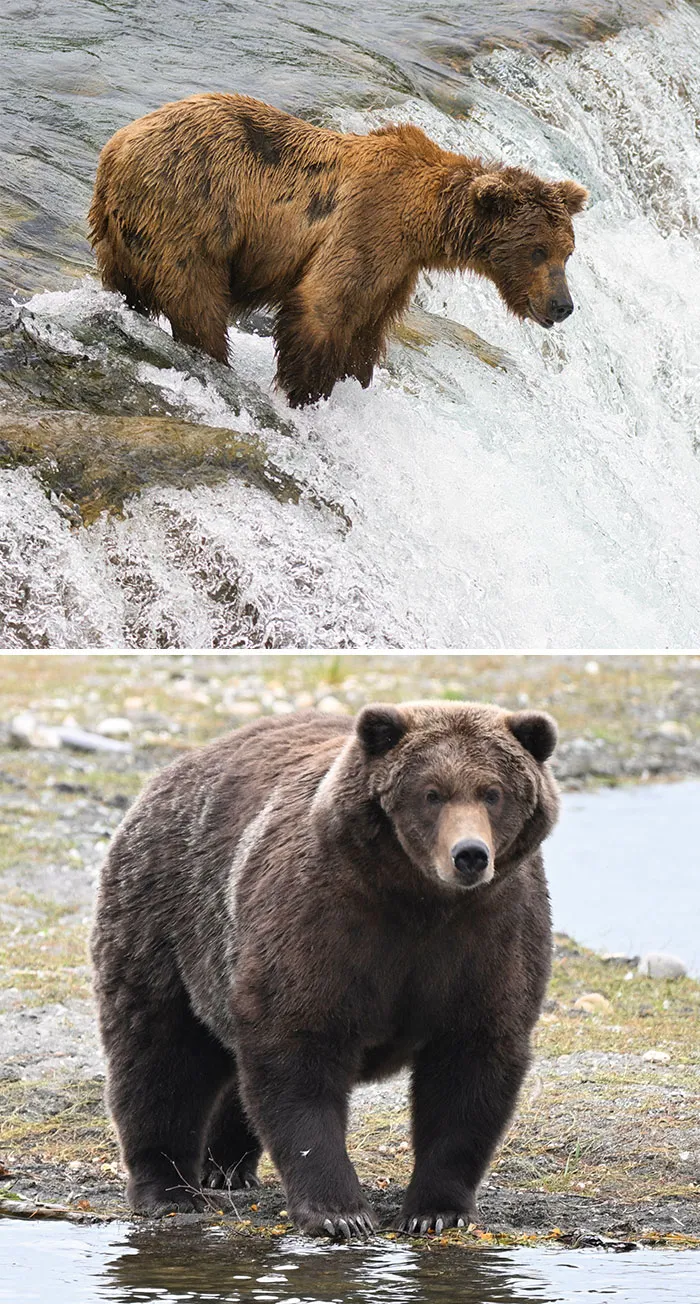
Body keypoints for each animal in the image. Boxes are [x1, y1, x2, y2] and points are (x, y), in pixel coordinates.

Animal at [88, 93, 588, 407]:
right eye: (538, 251)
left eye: (567, 253)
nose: (562, 305)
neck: (423, 221)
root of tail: (114, 149)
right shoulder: (367, 225)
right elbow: (323, 307)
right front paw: (306, 392)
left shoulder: (397, 269)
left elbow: (368, 328)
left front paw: (354, 377)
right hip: (189, 213)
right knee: (198, 301)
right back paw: (214, 359)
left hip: (122, 236)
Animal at [90, 700, 559, 1239]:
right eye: (432, 793)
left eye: (493, 792)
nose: (470, 855)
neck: (420, 901)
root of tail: (169, 773)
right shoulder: (323, 920)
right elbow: (299, 1052)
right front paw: (341, 1212)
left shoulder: (490, 935)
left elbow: (471, 1066)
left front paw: (435, 1211)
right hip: (166, 918)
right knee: (159, 1053)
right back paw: (168, 1189)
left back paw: (226, 1166)